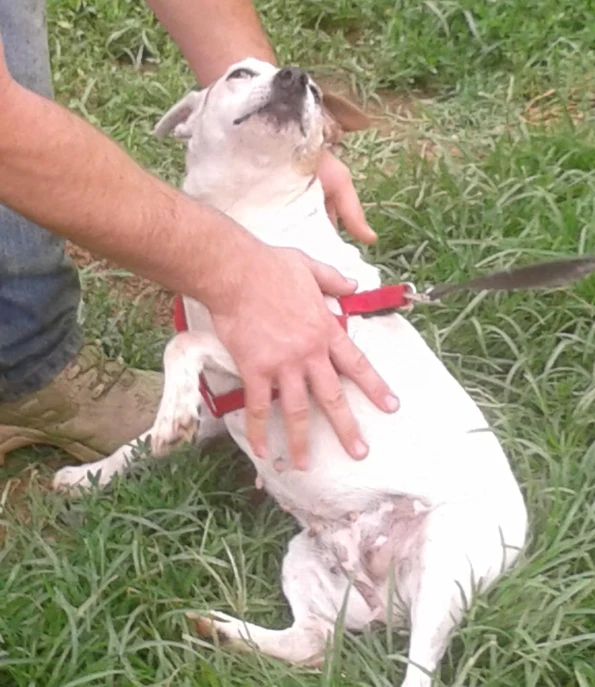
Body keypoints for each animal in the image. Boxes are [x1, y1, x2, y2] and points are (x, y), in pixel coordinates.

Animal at [53, 60, 528, 687]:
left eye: (318, 94)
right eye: (239, 72)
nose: (296, 77)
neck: (246, 222)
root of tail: (385, 596)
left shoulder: (282, 355)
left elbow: (184, 343)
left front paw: (168, 417)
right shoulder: (221, 403)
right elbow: (134, 444)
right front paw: (89, 474)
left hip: (445, 558)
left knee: (419, 665)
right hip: (307, 558)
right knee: (310, 643)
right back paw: (222, 630)